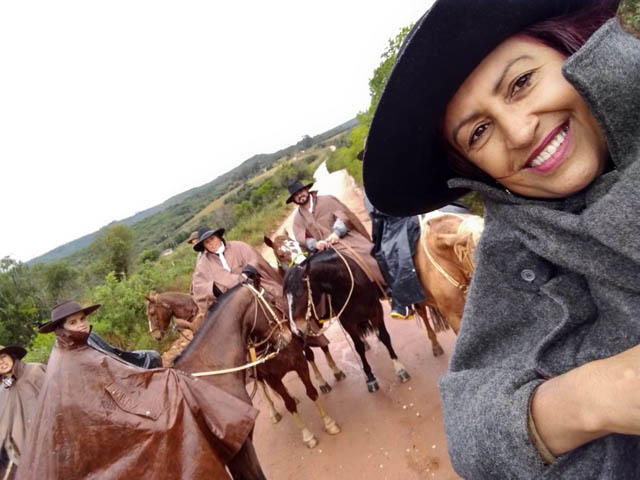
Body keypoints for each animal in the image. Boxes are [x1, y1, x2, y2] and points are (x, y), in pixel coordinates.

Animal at [170, 284, 340, 448]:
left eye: (272, 300)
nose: (286, 333)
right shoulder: (272, 378)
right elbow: (289, 404)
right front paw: (307, 436)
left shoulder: (299, 362)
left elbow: (311, 391)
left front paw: (329, 423)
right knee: (263, 387)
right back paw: (274, 411)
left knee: (312, 354)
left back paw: (329, 377)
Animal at [284, 249, 410, 392]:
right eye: (286, 297)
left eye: (301, 293)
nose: (296, 329)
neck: (349, 284)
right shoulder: (347, 322)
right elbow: (358, 347)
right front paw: (370, 377)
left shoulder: (376, 311)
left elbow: (384, 336)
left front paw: (399, 368)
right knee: (310, 354)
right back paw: (322, 382)